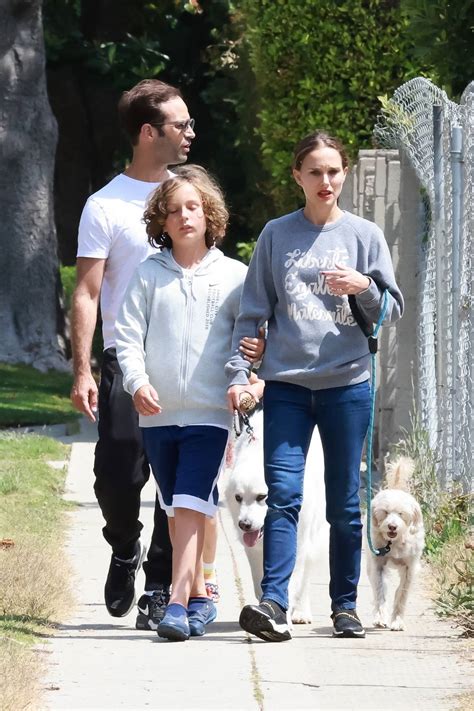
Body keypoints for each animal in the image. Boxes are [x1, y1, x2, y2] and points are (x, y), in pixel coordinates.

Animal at [225, 406, 328, 624]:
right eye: (238, 497)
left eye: (261, 497)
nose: (244, 524)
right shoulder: (253, 550)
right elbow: (259, 581)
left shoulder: (299, 540)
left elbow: (293, 579)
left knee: (306, 574)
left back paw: (301, 612)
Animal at [366, 454, 426, 632]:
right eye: (385, 512)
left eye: (401, 514)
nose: (392, 526)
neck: (393, 543)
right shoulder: (377, 564)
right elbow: (380, 591)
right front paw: (380, 618)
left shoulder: (409, 568)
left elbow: (402, 594)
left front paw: (397, 621)